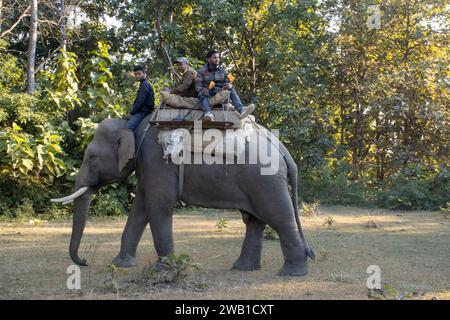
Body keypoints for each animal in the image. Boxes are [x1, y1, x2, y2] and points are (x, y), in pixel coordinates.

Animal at [51, 115, 312, 278]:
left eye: (92, 157)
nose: (84, 261)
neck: (131, 123)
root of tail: (283, 149)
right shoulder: (149, 167)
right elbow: (140, 209)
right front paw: (121, 264)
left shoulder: (158, 161)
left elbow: (158, 206)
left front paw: (165, 269)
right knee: (255, 221)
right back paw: (242, 268)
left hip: (265, 180)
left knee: (279, 218)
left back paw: (292, 273)